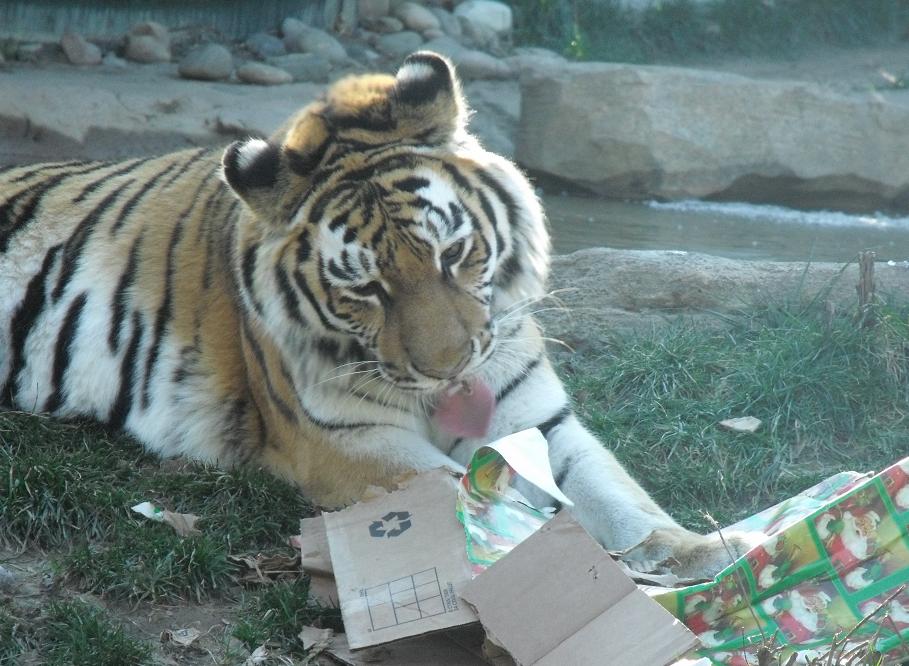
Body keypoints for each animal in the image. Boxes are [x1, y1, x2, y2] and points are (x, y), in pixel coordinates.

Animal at [0, 52, 753, 578]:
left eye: (453, 254)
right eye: (365, 289)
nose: (447, 368)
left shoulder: (536, 417)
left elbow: (616, 493)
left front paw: (702, 553)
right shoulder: (348, 440)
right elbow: (470, 496)